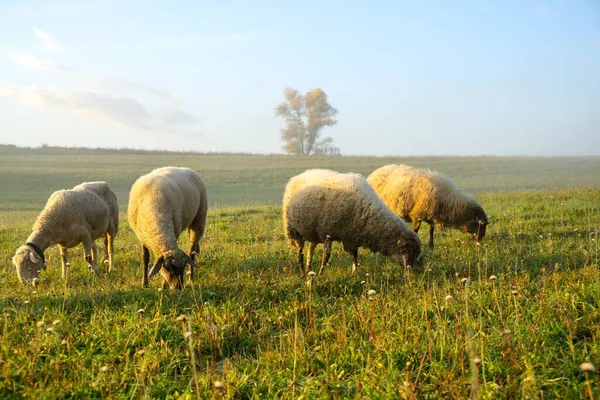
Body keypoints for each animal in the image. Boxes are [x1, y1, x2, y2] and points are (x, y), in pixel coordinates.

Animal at [282, 169, 422, 276]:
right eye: (412, 251)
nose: (418, 272)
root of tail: (298, 176)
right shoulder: (328, 233)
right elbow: (326, 256)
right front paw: (321, 274)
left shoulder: (352, 236)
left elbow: (355, 255)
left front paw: (354, 272)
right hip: (294, 229)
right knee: (299, 252)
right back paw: (302, 271)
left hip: (314, 232)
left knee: (309, 251)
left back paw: (308, 269)